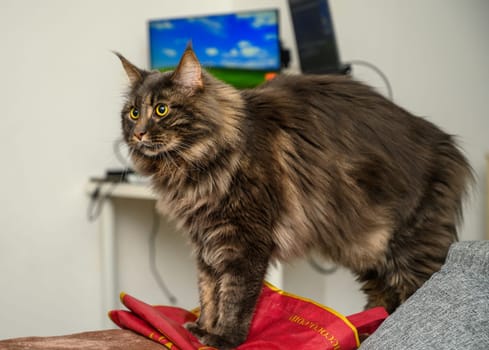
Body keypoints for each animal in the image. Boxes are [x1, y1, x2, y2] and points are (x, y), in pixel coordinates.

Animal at [115, 45, 472, 348]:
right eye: (133, 113)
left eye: (161, 110)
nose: (139, 133)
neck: (192, 166)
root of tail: (448, 145)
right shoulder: (205, 243)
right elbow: (208, 292)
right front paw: (202, 328)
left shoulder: (244, 242)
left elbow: (233, 294)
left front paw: (223, 338)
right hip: (368, 250)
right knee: (383, 301)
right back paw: (367, 331)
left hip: (410, 249)